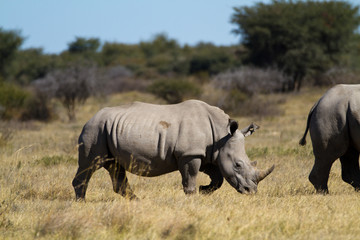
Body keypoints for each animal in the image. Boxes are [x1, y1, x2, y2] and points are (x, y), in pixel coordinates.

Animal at [71, 99, 274, 201]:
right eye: (238, 165)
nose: (251, 191)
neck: (221, 134)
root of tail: (90, 118)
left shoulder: (206, 153)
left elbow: (218, 179)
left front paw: (204, 190)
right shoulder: (189, 154)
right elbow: (190, 178)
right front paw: (193, 197)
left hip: (106, 129)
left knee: (115, 167)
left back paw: (137, 202)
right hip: (95, 129)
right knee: (90, 164)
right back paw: (81, 203)